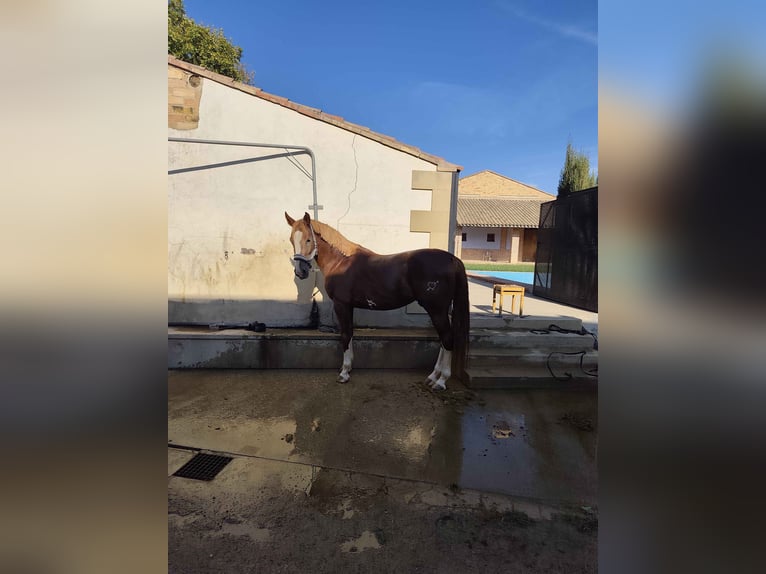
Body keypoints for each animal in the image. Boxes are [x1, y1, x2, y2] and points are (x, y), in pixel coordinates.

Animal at [285, 212, 469, 390]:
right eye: (291, 239)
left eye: (308, 239)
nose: (300, 272)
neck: (341, 261)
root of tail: (452, 259)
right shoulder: (349, 306)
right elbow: (351, 333)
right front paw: (348, 368)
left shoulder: (341, 304)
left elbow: (345, 335)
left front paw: (344, 373)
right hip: (441, 310)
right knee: (443, 340)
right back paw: (433, 376)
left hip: (436, 309)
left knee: (447, 339)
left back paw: (441, 381)